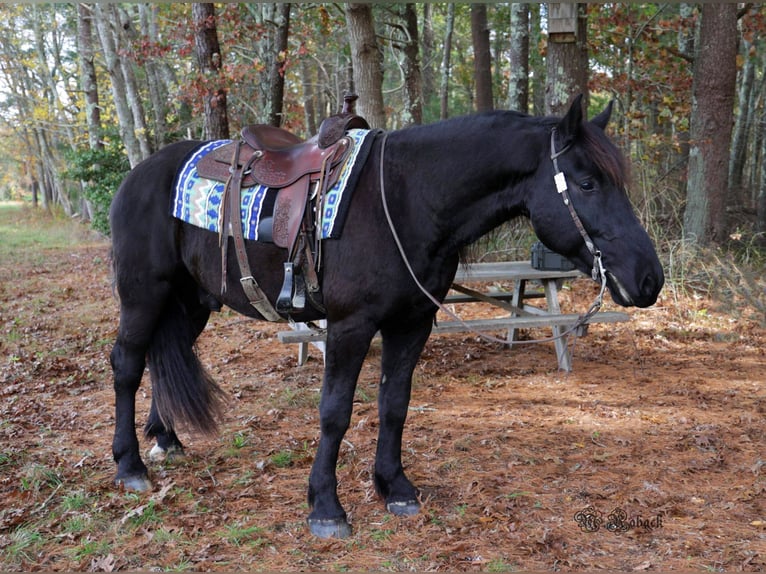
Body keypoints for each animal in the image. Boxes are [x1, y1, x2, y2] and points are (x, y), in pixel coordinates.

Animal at [108, 95, 664, 540]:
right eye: (587, 183)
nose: (650, 279)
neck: (407, 199)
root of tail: (139, 174)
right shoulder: (351, 326)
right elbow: (335, 412)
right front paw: (326, 506)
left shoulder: (412, 323)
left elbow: (395, 403)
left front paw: (394, 486)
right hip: (144, 296)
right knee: (127, 364)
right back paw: (130, 465)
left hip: (190, 302)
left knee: (163, 356)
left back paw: (167, 438)